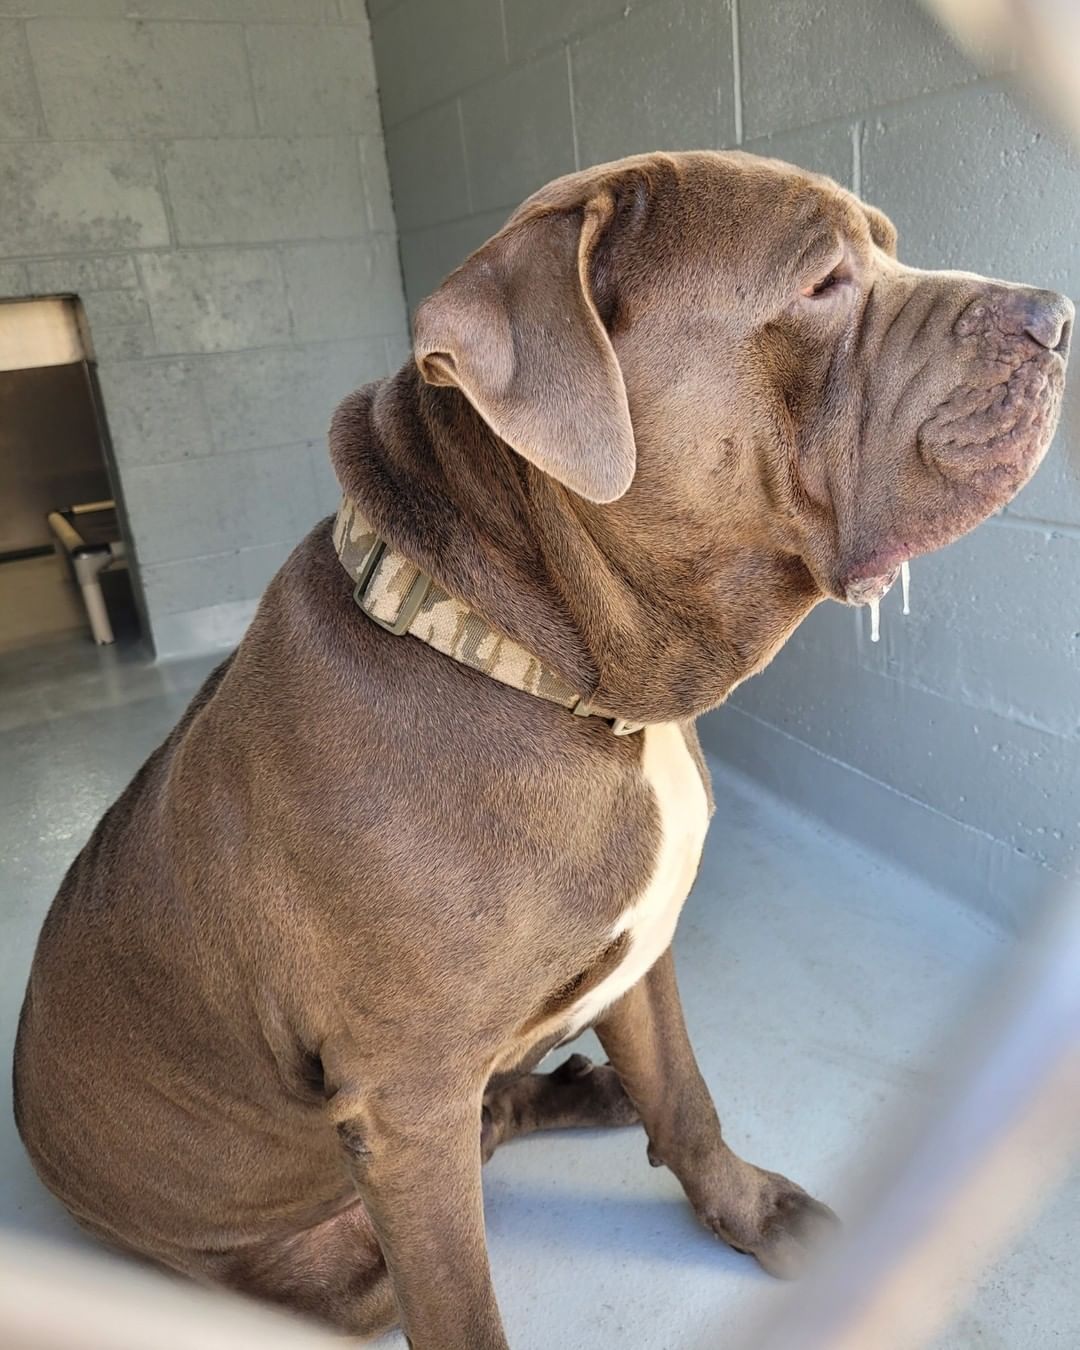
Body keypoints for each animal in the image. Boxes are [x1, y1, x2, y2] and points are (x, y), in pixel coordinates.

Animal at [12, 153, 1069, 1344]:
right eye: (822, 282)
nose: (1056, 315)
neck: (533, 658)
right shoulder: (407, 1102)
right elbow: (463, 1305)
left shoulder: (645, 953)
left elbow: (687, 1096)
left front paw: (746, 1208)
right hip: (338, 1257)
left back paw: (583, 1085)